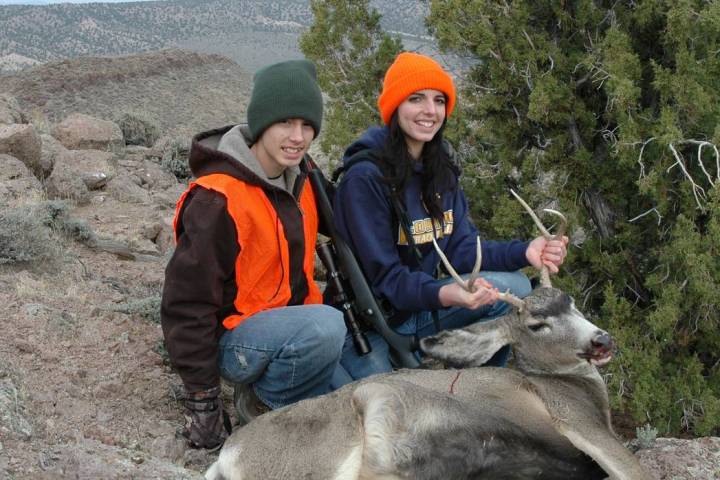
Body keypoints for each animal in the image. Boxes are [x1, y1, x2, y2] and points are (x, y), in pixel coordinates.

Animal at [204, 191, 653, 480]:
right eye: (536, 325)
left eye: (571, 301)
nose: (602, 341)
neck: (566, 383)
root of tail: (227, 456)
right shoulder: (579, 421)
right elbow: (636, 471)